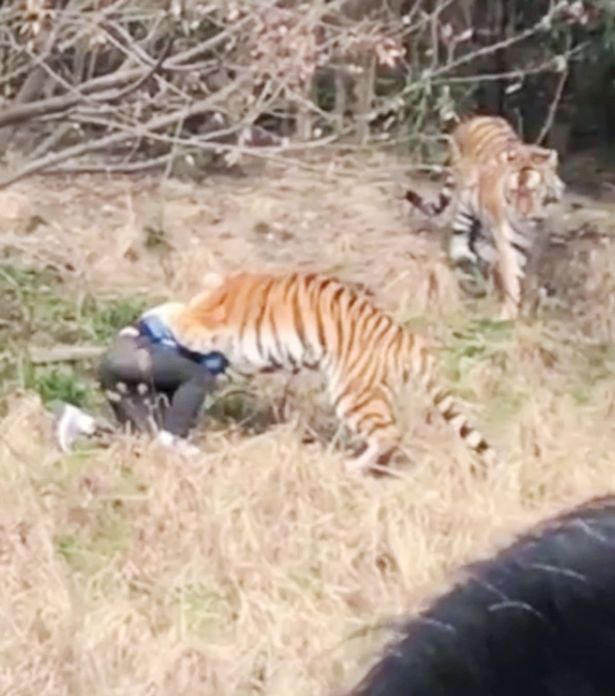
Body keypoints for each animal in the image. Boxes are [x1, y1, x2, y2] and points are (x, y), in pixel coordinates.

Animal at [152, 270, 498, 476]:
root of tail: (407, 337)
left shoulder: (213, 330)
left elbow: (179, 318)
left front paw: (159, 315)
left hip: (353, 393)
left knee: (389, 433)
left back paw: (354, 467)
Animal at [406, 115, 564, 320]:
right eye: (514, 192)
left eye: (535, 191)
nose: (523, 214)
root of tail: (472, 119)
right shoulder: (508, 241)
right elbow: (512, 276)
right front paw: (508, 314)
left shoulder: (539, 243)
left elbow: (530, 276)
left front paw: (528, 306)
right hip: (464, 199)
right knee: (460, 230)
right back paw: (465, 259)